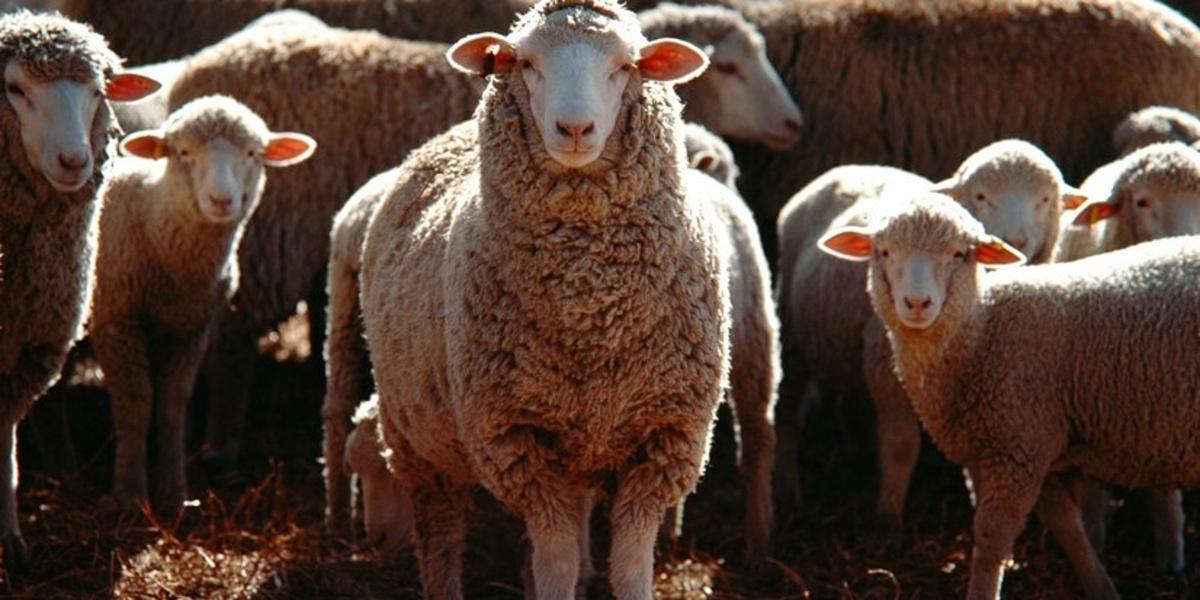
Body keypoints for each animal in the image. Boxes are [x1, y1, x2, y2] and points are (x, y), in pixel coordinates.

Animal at [0, 10, 158, 570]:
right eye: (14, 89)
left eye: (97, 91)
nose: (74, 161)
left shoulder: (33, 348)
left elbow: (4, 443)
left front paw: (11, 540)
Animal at [91, 95, 314, 510]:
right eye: (183, 152)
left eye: (252, 153)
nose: (222, 200)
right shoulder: (117, 319)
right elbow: (135, 402)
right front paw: (131, 494)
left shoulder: (193, 326)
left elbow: (173, 403)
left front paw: (174, 493)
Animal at [357, 0, 728, 595]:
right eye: (526, 63)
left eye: (625, 66)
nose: (574, 128)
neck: (590, 303)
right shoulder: (516, 440)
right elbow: (553, 561)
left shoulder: (666, 438)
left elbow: (629, 563)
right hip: (418, 441)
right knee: (440, 533)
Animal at [820, 192, 1200, 600]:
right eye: (885, 252)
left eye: (959, 254)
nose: (917, 303)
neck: (983, 330)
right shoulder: (1034, 446)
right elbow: (1067, 526)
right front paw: (1100, 585)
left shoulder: (1016, 449)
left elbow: (990, 540)